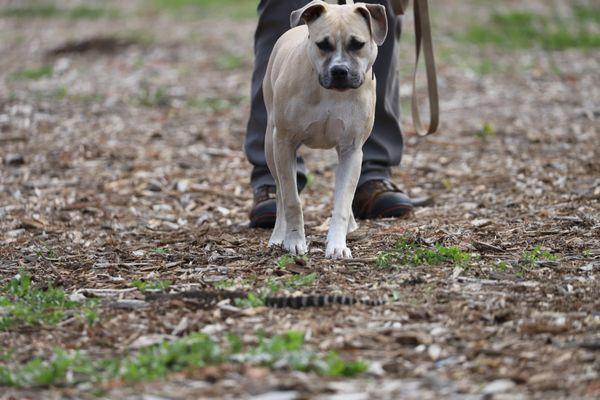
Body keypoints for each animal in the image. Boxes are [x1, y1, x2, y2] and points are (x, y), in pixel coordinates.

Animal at [264, 0, 386, 260]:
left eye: (357, 44)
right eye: (322, 45)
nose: (339, 71)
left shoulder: (351, 150)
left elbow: (342, 202)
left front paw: (337, 245)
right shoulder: (284, 143)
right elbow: (291, 199)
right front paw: (294, 241)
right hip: (271, 146)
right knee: (279, 192)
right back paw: (278, 236)